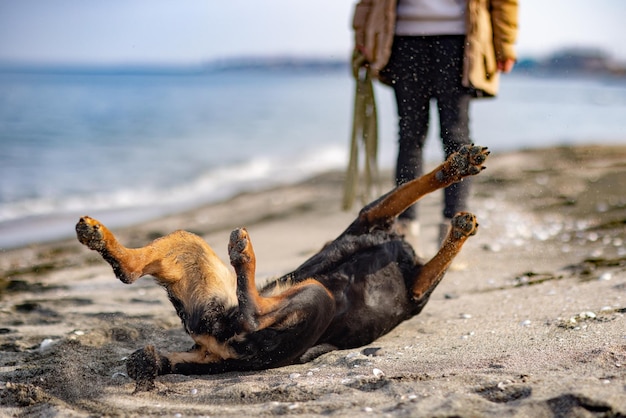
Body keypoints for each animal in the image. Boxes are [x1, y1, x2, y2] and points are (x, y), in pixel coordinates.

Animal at [77, 145, 488, 392]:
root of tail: (215, 350)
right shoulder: (379, 224)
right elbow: (416, 188)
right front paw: (459, 168)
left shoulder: (401, 262)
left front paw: (460, 213)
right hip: (315, 297)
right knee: (253, 311)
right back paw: (242, 255)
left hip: (208, 279)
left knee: (134, 273)